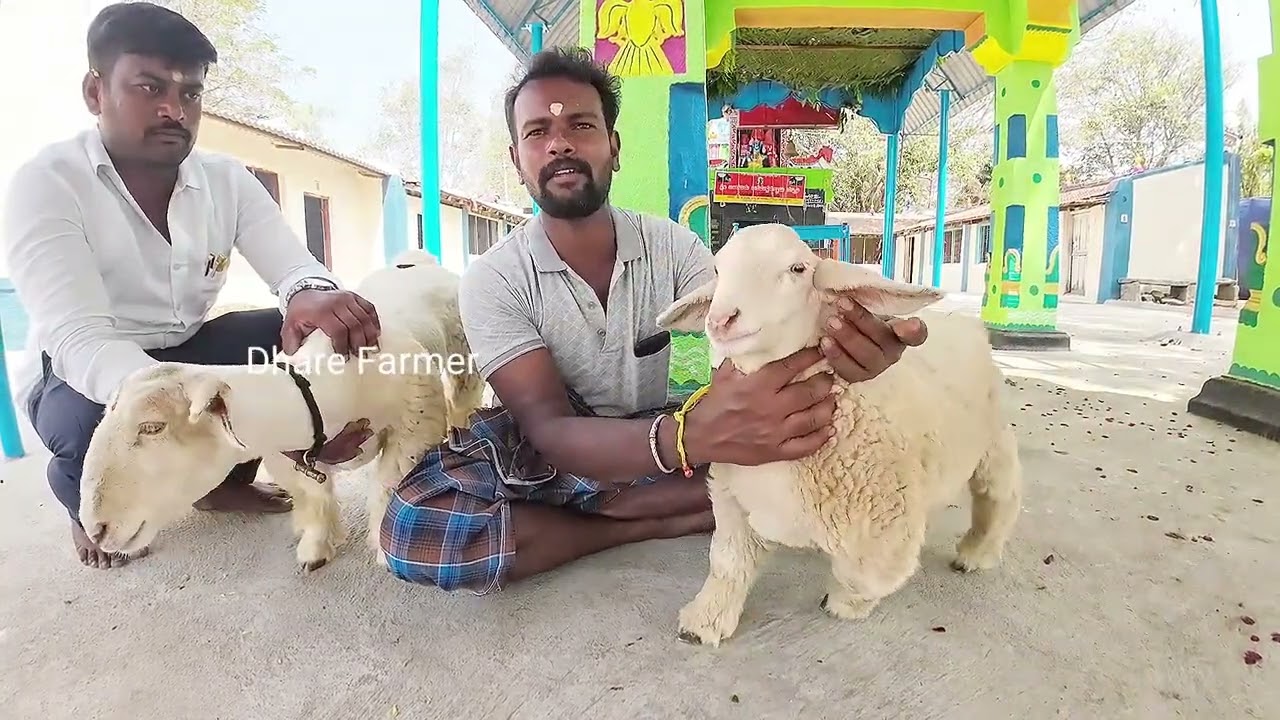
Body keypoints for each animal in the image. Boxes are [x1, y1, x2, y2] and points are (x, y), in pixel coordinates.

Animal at [77, 253, 486, 572]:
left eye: (152, 427)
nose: (96, 530)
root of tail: (416, 259)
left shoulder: (413, 427)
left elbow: (386, 486)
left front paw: (383, 551)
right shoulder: (286, 457)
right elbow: (315, 498)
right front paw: (315, 549)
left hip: (463, 354)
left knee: (462, 397)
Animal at [655, 223, 1022, 647]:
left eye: (798, 269)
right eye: (718, 269)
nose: (721, 319)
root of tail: (959, 318)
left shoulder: (885, 521)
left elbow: (868, 576)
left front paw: (845, 604)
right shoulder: (733, 499)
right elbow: (727, 562)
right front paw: (705, 621)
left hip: (993, 438)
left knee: (1000, 493)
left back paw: (977, 553)